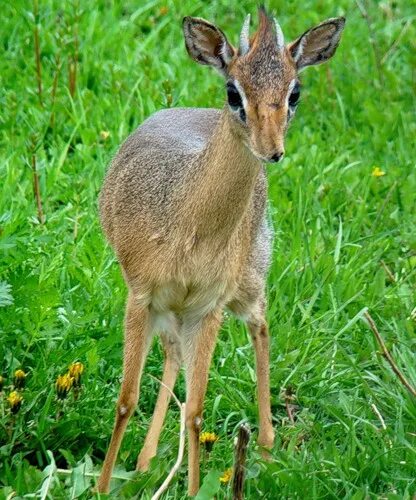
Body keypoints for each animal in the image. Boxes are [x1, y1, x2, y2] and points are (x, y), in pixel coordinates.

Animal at [97, 8, 344, 496]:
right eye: (234, 91)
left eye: (294, 92)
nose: (273, 151)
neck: (188, 226)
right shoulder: (142, 296)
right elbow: (126, 399)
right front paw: (101, 485)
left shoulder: (208, 307)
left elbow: (195, 410)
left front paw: (194, 489)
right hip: (171, 310)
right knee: (173, 354)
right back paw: (145, 462)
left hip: (246, 284)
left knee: (260, 327)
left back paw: (265, 448)